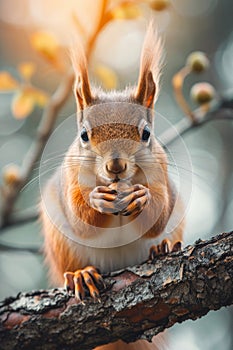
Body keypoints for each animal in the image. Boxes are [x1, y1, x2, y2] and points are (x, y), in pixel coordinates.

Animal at [40, 22, 184, 350]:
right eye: (83, 135)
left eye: (146, 133)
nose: (115, 167)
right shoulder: (71, 177)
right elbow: (79, 216)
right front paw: (96, 201)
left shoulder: (161, 173)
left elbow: (159, 212)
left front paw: (143, 199)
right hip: (61, 243)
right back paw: (81, 275)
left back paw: (162, 248)